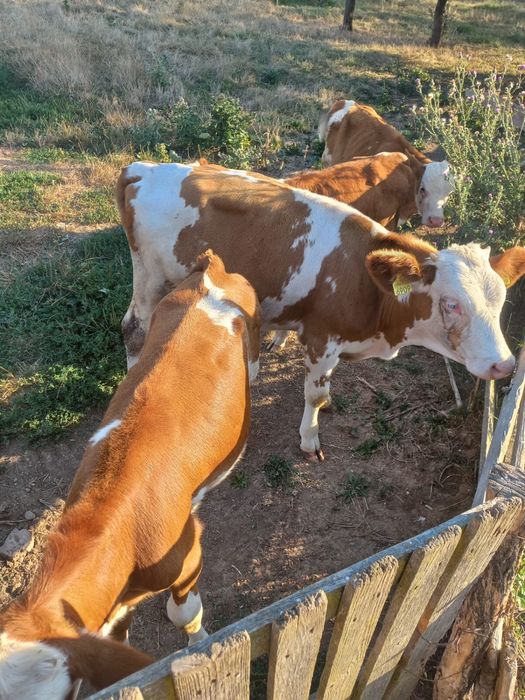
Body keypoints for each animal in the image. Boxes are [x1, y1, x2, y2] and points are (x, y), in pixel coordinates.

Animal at [117, 160, 525, 461]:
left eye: (499, 301)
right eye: (453, 303)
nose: (504, 365)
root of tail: (144, 168)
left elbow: (323, 389)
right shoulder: (320, 338)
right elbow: (313, 395)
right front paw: (309, 439)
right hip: (150, 277)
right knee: (133, 328)